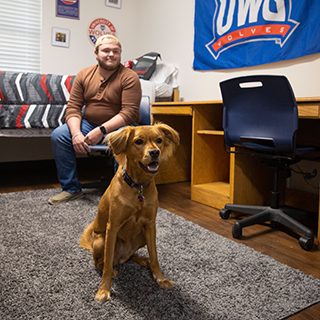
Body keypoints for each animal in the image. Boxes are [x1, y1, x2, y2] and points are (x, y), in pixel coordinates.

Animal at [79, 122, 179, 302]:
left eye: (159, 140)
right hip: (101, 240)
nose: (155, 152)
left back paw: (142, 260)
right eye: (138, 141)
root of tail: (121, 258)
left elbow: (155, 256)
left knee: (131, 256)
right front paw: (104, 289)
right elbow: (107, 263)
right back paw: (112, 269)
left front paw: (160, 278)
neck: (138, 186)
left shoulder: (150, 226)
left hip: (141, 236)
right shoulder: (112, 227)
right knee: (100, 262)